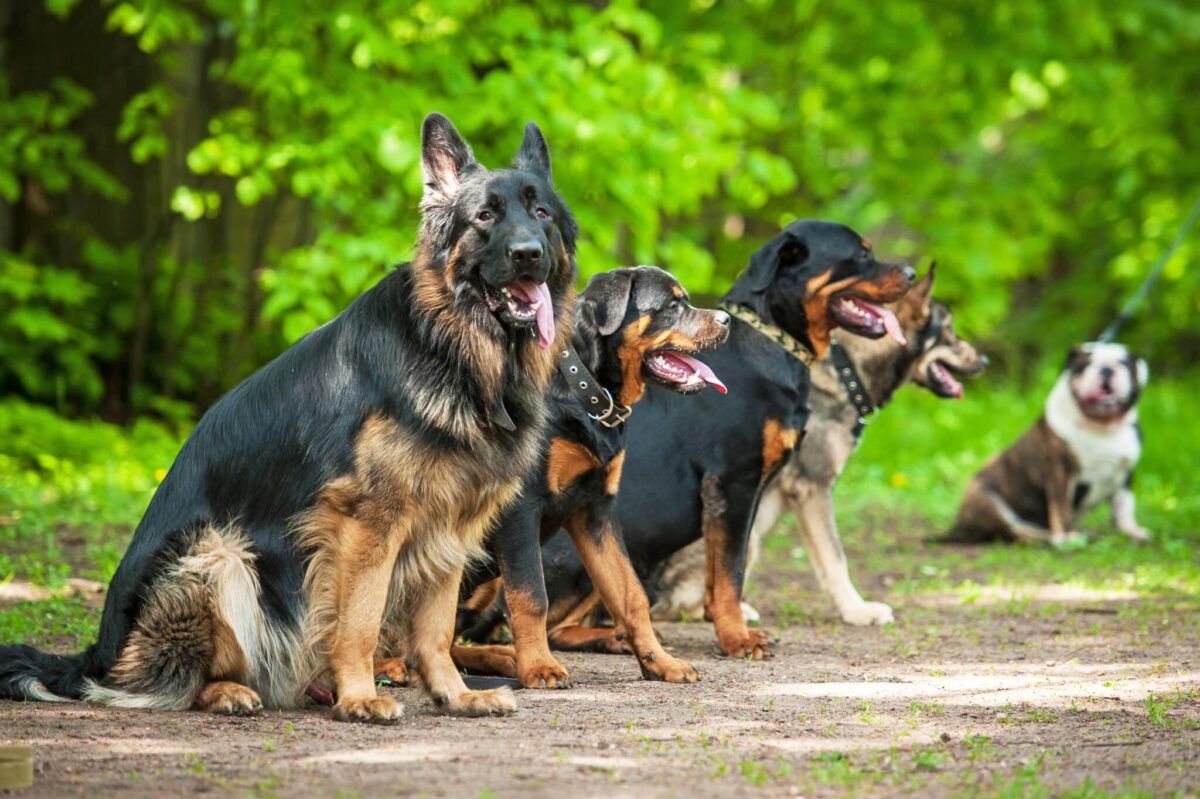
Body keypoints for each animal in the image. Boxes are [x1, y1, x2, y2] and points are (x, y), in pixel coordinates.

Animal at [0, 113, 576, 719]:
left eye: (541, 214)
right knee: (167, 682)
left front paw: (455, 694)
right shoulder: (367, 523)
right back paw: (229, 691)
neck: (450, 348)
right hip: (222, 555)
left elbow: (436, 630)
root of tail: (94, 654)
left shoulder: (451, 525)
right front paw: (360, 698)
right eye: (485, 216)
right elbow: (360, 620)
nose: (528, 253)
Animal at [429, 266, 729, 686]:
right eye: (672, 305)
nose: (727, 319)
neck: (587, 392)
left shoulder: (596, 510)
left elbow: (630, 594)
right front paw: (540, 666)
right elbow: (531, 596)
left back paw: (501, 658)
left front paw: (660, 662)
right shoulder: (521, 507)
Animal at [530, 219, 912, 657]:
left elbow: (729, 569)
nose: (911, 274)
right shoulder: (733, 482)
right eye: (861, 254)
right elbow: (731, 573)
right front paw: (736, 638)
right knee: (553, 627)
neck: (774, 344)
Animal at [657, 267, 984, 623]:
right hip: (748, 532)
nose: (984, 360)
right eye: (948, 330)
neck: (847, 369)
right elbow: (835, 559)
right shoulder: (812, 488)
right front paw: (858, 612)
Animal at [940, 338, 1147, 544]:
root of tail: (959, 525)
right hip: (988, 500)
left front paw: (1131, 530)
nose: (1106, 369)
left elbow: (1125, 505)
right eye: (1086, 363)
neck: (1102, 427)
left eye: (1124, 363)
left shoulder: (1126, 474)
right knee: (1015, 531)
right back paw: (1046, 537)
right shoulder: (1060, 471)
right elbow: (1061, 507)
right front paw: (1067, 537)